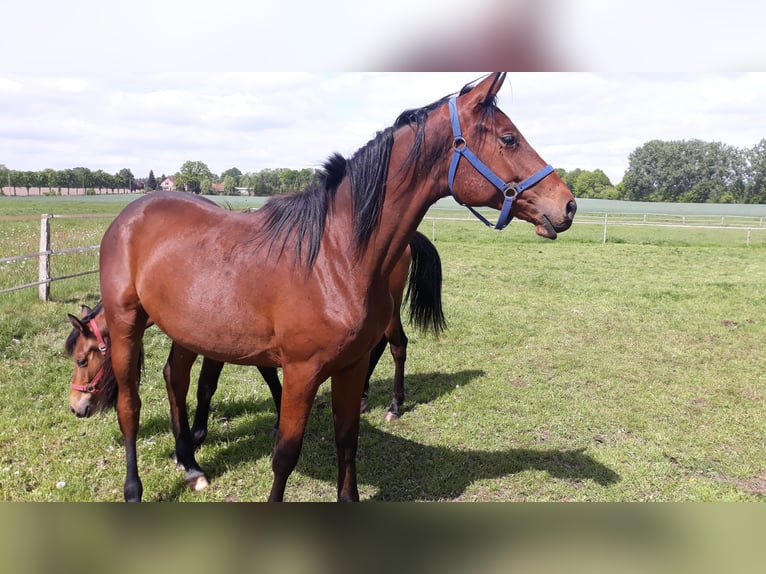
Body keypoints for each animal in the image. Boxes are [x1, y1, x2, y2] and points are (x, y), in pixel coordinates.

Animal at [67, 229, 445, 441]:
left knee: (397, 346)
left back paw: (395, 403)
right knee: (378, 348)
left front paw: (199, 431)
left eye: (82, 359)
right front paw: (278, 413)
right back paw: (365, 396)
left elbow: (206, 385)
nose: (77, 408)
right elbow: (262, 373)